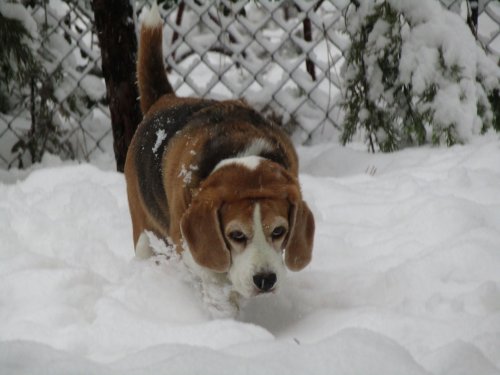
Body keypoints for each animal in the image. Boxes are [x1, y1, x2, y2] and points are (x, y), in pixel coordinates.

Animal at [125, 4, 312, 318]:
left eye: (279, 231)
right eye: (235, 235)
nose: (265, 279)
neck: (241, 154)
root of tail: (165, 99)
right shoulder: (192, 247)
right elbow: (215, 280)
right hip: (143, 234)